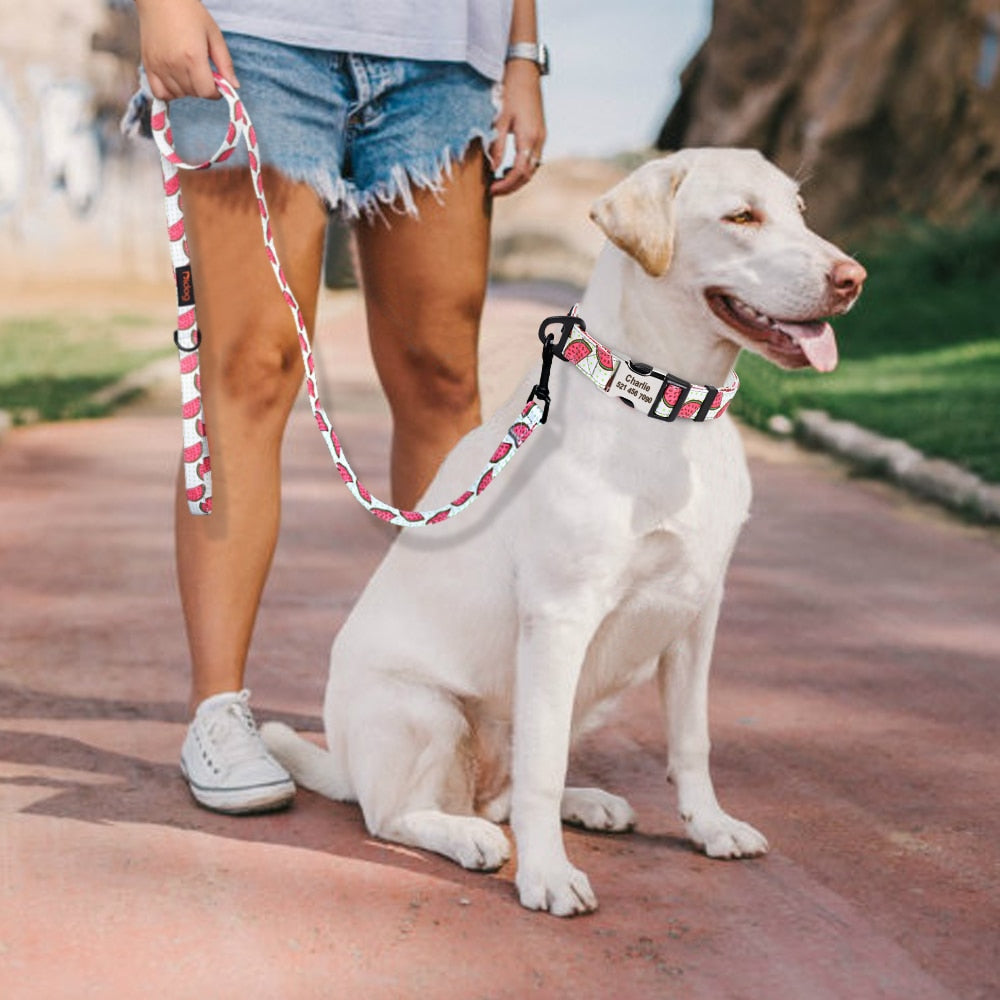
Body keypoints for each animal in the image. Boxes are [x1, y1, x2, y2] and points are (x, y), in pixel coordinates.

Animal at [262, 146, 864, 916]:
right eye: (741, 217)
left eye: (800, 211)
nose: (852, 278)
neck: (666, 408)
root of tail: (344, 762)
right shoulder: (559, 617)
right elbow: (542, 770)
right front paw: (547, 874)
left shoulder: (698, 613)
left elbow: (691, 741)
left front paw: (710, 827)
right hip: (425, 710)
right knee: (401, 814)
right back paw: (468, 837)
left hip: (581, 699)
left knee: (501, 792)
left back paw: (584, 804)